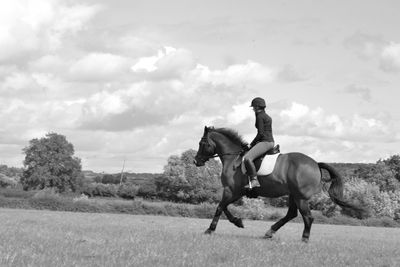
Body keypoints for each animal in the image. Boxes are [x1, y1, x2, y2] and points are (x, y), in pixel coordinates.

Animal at [194, 126, 366, 242]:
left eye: (202, 143)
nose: (196, 161)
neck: (233, 158)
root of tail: (315, 164)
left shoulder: (232, 190)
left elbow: (220, 207)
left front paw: (210, 230)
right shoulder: (235, 192)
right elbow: (224, 208)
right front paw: (238, 222)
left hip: (300, 197)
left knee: (308, 217)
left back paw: (304, 239)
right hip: (293, 195)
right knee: (291, 214)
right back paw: (269, 232)